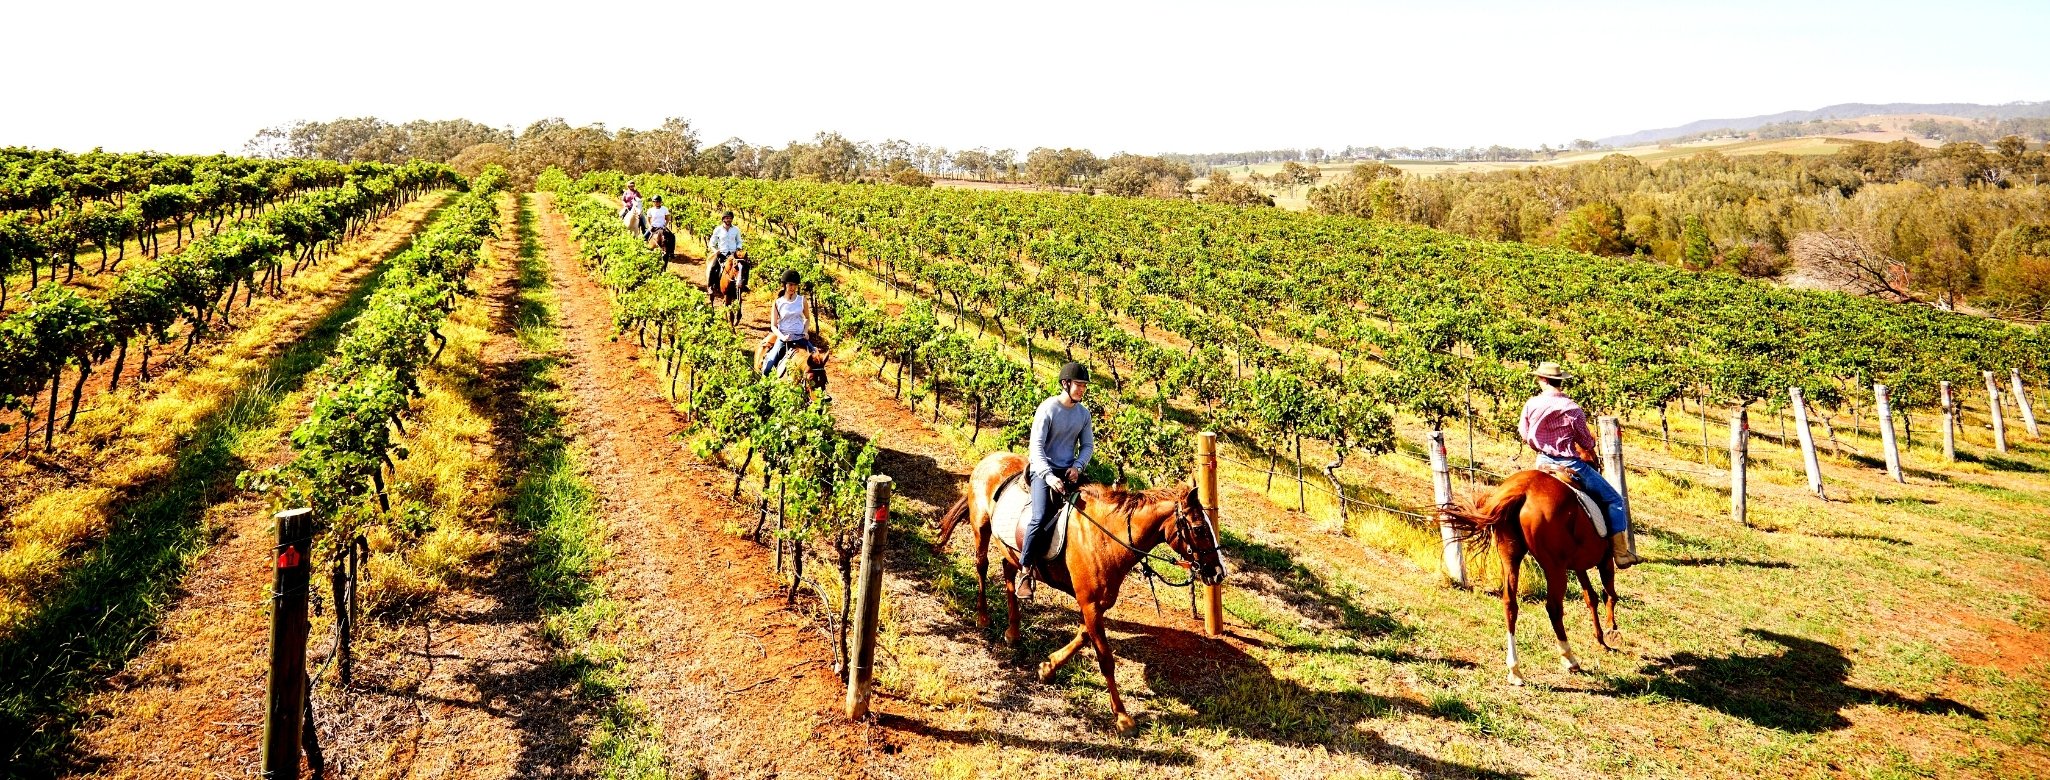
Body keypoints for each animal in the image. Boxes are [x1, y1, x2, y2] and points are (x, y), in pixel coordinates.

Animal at [938, 451, 1221, 730]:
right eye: (1199, 529)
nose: (1219, 572)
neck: (1106, 538)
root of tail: (990, 459)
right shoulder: (1090, 603)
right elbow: (1105, 659)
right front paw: (1122, 716)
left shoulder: (1097, 604)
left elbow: (1083, 637)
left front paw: (1048, 668)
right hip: (981, 527)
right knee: (982, 566)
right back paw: (983, 617)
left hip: (1012, 552)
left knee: (1009, 574)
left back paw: (1013, 630)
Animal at [1443, 465, 1615, 685]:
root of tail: (1523, 490)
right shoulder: (1605, 559)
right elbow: (1608, 594)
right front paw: (1611, 631)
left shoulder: (1579, 566)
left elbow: (1591, 597)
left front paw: (1601, 637)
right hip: (1555, 567)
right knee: (1554, 608)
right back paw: (1569, 659)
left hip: (1510, 556)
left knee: (1510, 604)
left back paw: (1515, 670)